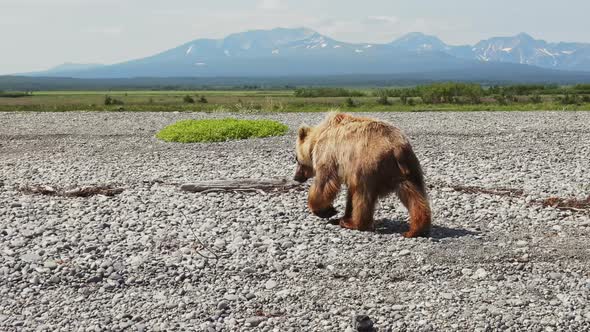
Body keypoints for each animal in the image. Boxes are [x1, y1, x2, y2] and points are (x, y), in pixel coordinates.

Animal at [294, 113, 430, 237]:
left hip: (367, 166)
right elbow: (348, 193)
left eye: (296, 159)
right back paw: (416, 228)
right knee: (414, 195)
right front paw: (338, 214)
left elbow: (324, 183)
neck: (317, 137)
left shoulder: (328, 155)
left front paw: (325, 210)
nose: (296, 177)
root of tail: (397, 148)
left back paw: (354, 224)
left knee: (362, 196)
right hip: (408, 169)